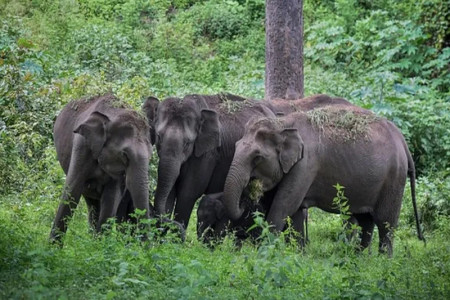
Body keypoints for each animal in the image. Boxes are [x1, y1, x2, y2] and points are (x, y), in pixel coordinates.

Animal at [48, 94, 151, 244]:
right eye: (124, 155)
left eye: (151, 155)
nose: (147, 247)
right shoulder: (82, 145)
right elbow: (72, 190)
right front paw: (52, 248)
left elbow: (111, 198)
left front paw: (100, 246)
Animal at [223, 103, 424, 255]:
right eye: (236, 145)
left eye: (257, 157)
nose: (245, 201)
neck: (283, 123)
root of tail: (403, 142)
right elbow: (295, 214)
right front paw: (297, 255)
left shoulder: (305, 165)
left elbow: (284, 206)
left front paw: (263, 254)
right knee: (366, 221)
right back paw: (358, 260)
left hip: (393, 179)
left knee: (385, 224)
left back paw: (383, 262)